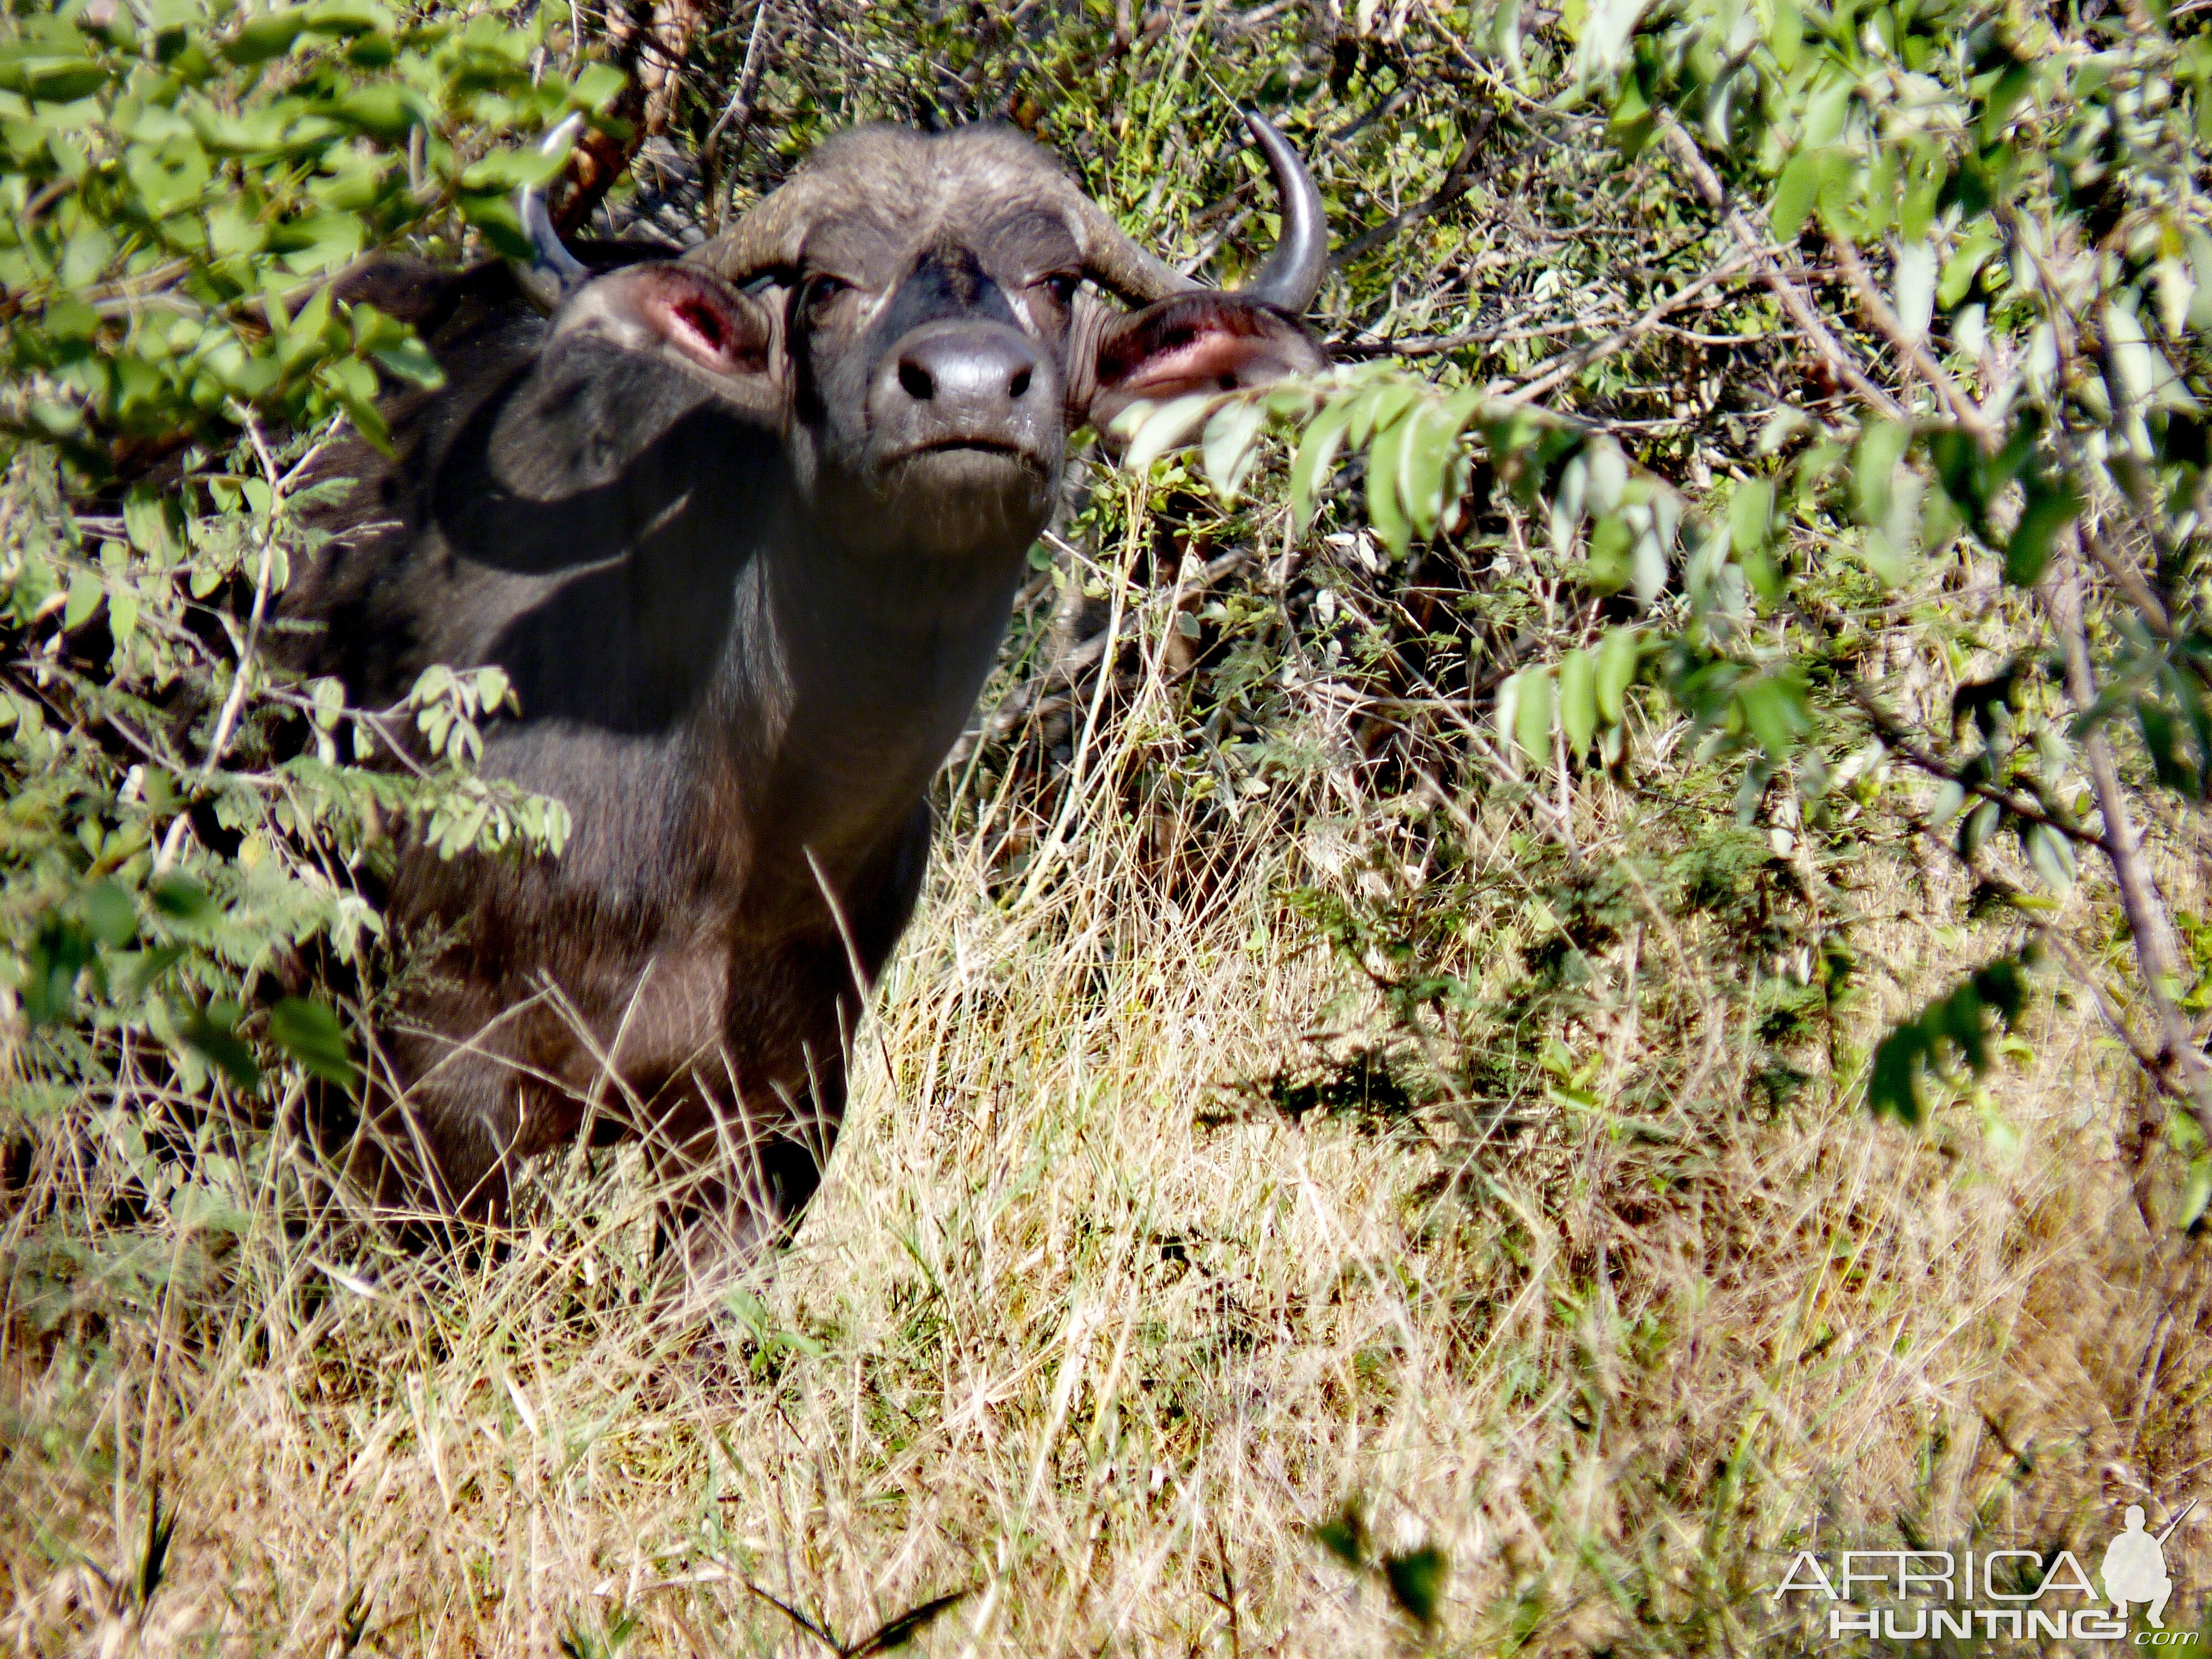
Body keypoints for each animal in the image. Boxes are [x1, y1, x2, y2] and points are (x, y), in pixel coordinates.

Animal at [294, 114, 1327, 1256]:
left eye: (1056, 282)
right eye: (828, 285)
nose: (969, 386)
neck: (749, 823)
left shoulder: (773, 1119)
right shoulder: (432, 1087)